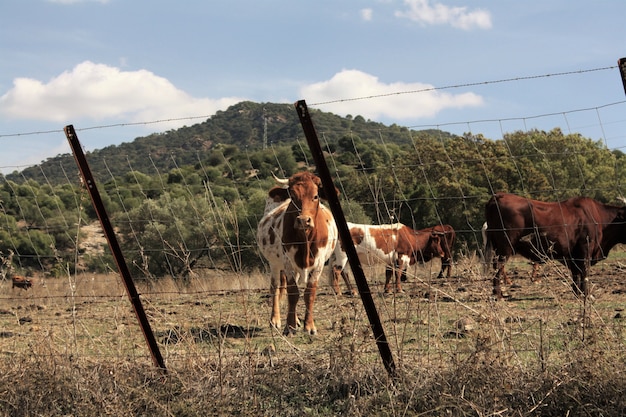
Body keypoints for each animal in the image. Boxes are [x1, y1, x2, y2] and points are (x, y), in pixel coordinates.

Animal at [256, 170, 338, 334]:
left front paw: (309, 326)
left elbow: (309, 294)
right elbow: (293, 293)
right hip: (274, 264)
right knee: (275, 287)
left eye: (315, 196)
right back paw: (275, 320)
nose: (303, 220)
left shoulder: (319, 264)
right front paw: (289, 326)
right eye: (293, 197)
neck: (305, 240)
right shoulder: (288, 263)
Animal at [482, 192, 624, 296]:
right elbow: (584, 272)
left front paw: (577, 292)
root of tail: (499, 196)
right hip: (505, 247)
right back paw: (498, 294)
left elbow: (576, 273)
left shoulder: (573, 254)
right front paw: (585, 293)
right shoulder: (585, 249)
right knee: (498, 266)